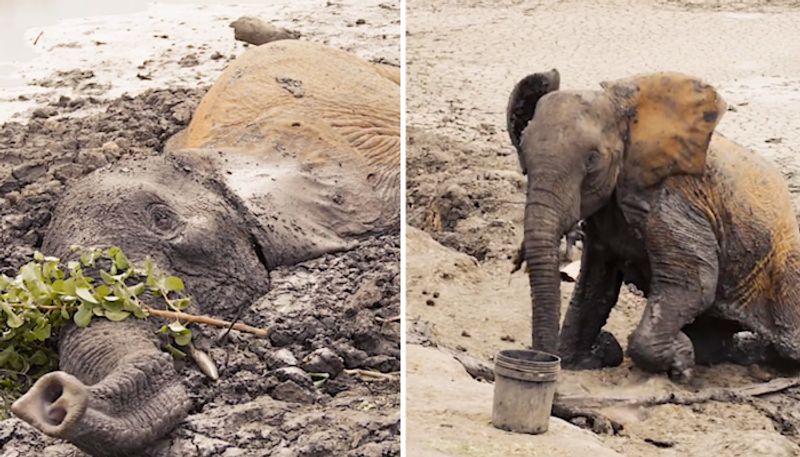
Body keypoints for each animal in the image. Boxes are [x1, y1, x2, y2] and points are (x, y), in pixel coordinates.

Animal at [507, 69, 800, 381]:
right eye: (523, 155)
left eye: (592, 161)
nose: (543, 363)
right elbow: (594, 285)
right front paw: (584, 359)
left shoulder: (674, 200)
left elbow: (693, 285)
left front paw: (682, 362)